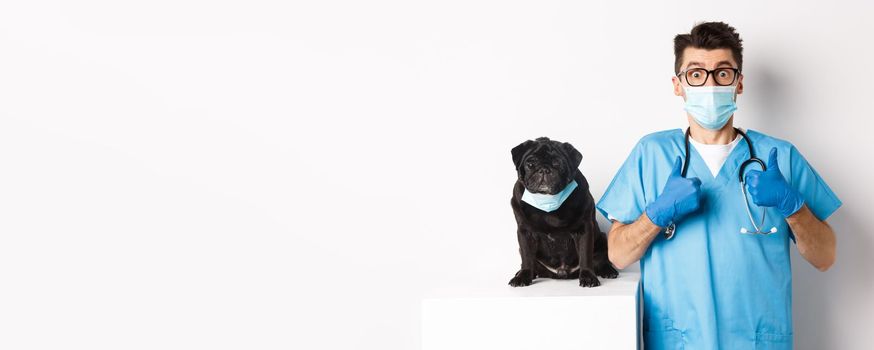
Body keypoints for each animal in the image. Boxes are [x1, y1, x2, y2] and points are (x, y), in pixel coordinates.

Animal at [508, 137, 616, 288]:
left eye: (557, 164)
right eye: (530, 164)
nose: (544, 169)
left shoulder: (584, 230)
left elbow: (585, 255)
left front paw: (588, 277)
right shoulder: (525, 232)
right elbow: (526, 256)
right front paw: (523, 276)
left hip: (602, 238)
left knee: (601, 260)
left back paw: (608, 271)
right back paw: (526, 273)